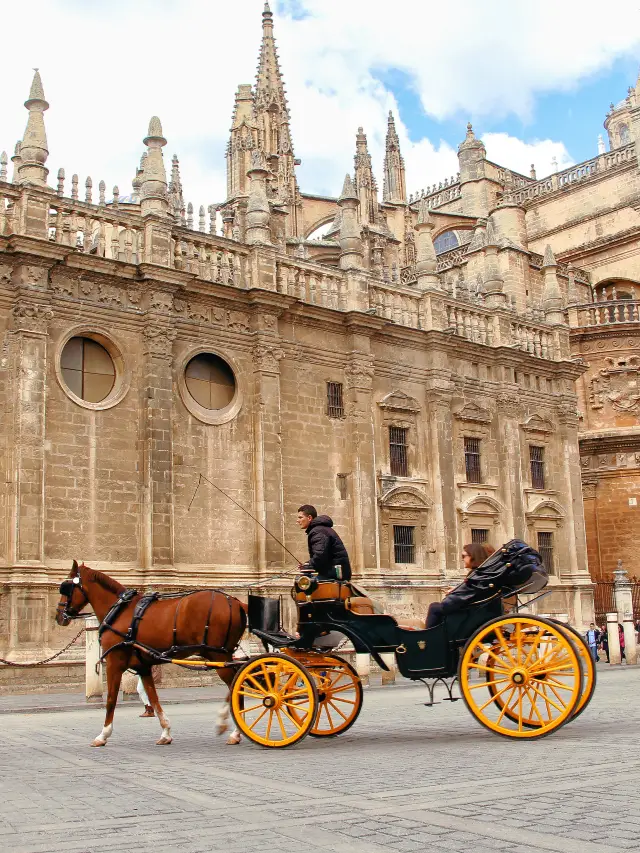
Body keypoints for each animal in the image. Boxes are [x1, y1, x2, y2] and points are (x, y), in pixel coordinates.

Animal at [55, 564, 245, 748]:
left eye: (66, 587)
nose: (58, 616)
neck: (120, 612)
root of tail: (236, 602)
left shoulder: (114, 663)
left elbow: (111, 699)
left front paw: (103, 735)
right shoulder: (143, 667)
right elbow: (154, 698)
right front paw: (165, 733)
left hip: (218, 656)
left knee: (237, 685)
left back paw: (231, 728)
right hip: (223, 657)